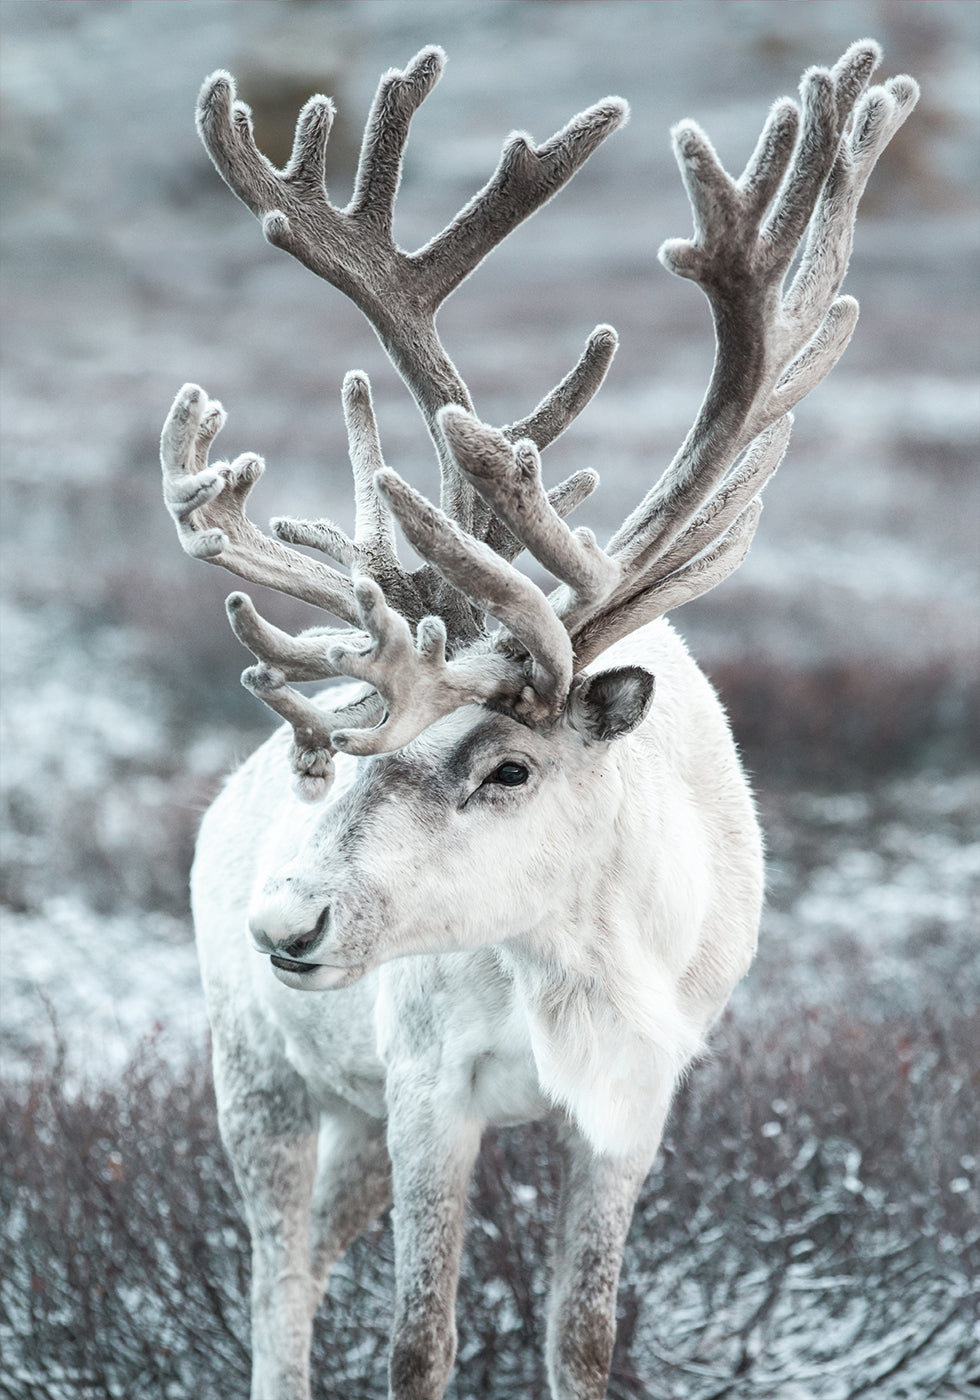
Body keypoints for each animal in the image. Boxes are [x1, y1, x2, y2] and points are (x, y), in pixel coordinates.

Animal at [159, 41, 917, 1400]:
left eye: (507, 767)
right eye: (353, 752)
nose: (287, 920)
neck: (576, 960)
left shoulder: (633, 1102)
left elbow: (581, 1334)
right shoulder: (426, 1088)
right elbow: (417, 1342)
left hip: (346, 1112)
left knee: (314, 1250)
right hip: (261, 1073)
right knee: (276, 1284)